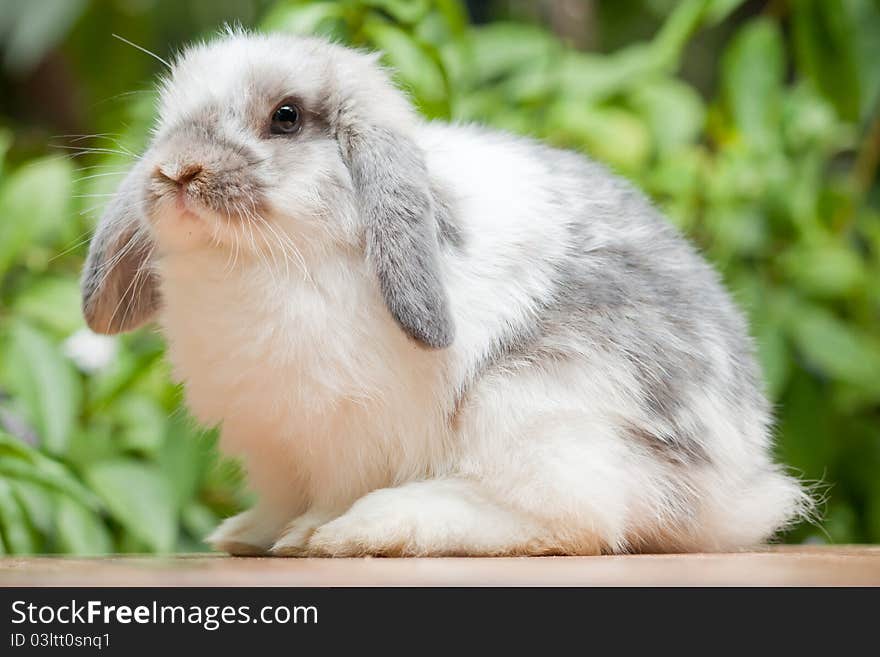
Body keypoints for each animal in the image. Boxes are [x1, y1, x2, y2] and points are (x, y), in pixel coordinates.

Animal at [79, 29, 808, 552]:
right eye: (167, 117)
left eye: (285, 117)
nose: (176, 170)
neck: (262, 260)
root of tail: (735, 481)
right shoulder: (278, 446)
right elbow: (282, 497)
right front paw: (251, 533)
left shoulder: (347, 435)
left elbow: (328, 494)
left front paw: (305, 534)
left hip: (533, 401)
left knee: (575, 518)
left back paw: (368, 528)